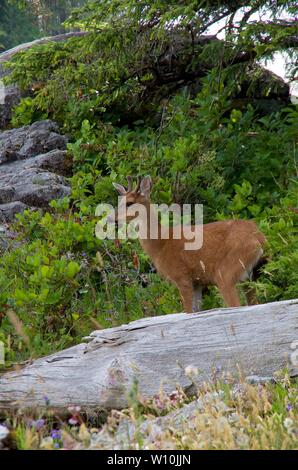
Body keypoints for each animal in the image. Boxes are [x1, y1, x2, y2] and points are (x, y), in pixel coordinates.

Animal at [112, 175, 268, 312]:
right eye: (119, 202)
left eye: (129, 203)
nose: (111, 218)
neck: (162, 244)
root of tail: (260, 238)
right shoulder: (197, 282)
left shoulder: (182, 276)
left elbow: (187, 311)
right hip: (248, 277)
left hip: (227, 272)